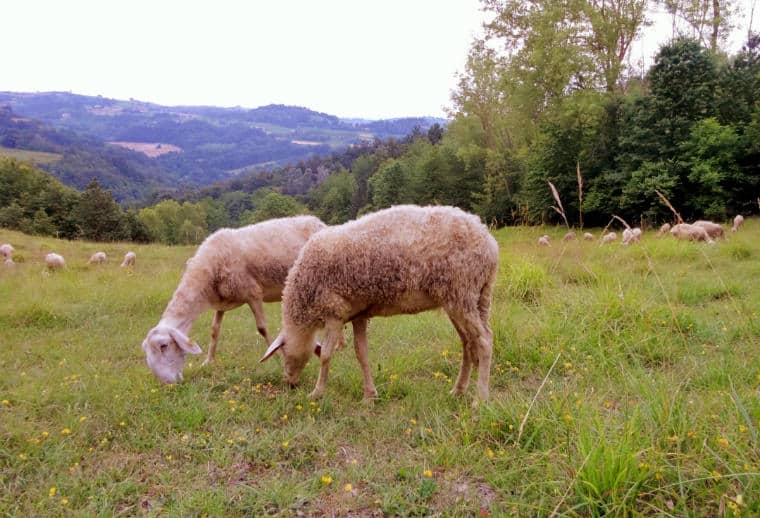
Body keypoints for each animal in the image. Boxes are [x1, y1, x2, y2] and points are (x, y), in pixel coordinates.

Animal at [141, 215, 326, 386]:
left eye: (164, 345)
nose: (168, 384)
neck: (207, 271)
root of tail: (317, 221)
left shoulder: (253, 292)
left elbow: (262, 328)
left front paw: (277, 358)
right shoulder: (221, 301)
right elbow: (214, 330)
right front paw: (208, 361)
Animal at [258, 206, 502, 406]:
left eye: (283, 354)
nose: (289, 383)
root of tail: (489, 241)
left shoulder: (334, 312)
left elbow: (326, 355)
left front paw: (317, 393)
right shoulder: (357, 313)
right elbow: (361, 353)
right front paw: (369, 396)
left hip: (462, 292)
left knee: (483, 341)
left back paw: (480, 399)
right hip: (470, 297)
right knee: (468, 343)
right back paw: (458, 390)